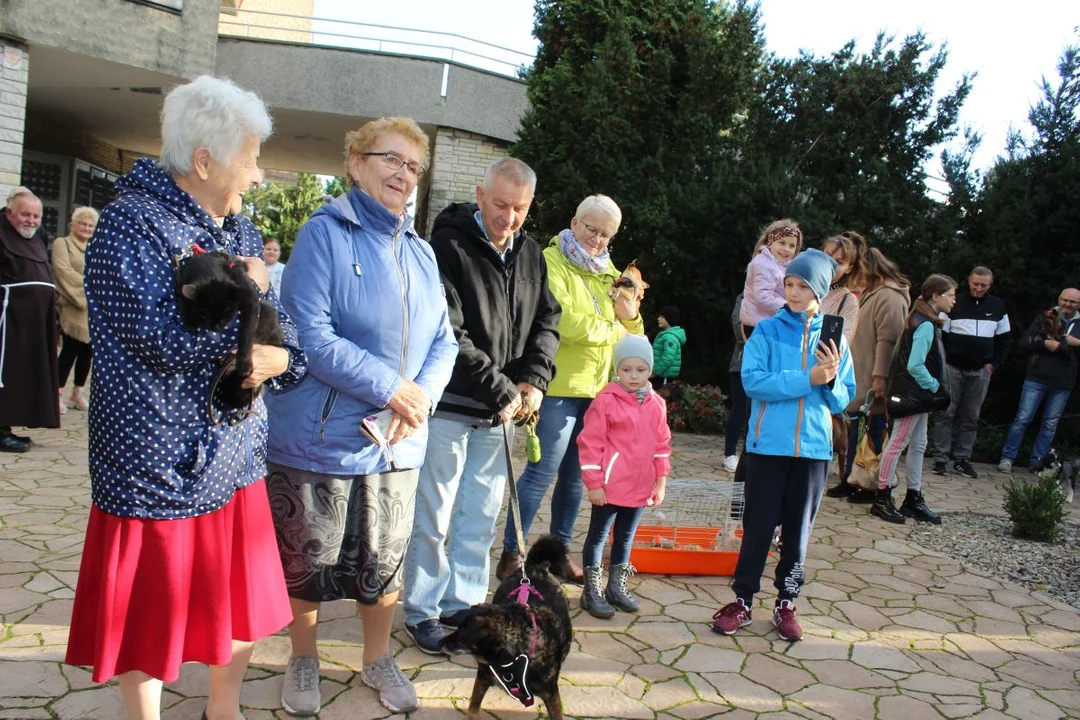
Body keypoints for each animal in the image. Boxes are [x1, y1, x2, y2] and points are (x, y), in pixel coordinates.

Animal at [173, 250, 282, 414]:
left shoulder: (250, 300)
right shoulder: (182, 282)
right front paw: (189, 322)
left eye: (227, 314)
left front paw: (244, 365)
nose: (216, 327)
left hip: (267, 313)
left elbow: (246, 333)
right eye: (204, 315)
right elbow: (182, 301)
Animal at [438, 535, 574, 720]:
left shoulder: (551, 693)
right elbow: (473, 707)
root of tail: (534, 567)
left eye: (461, 634)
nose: (438, 643)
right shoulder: (483, 676)